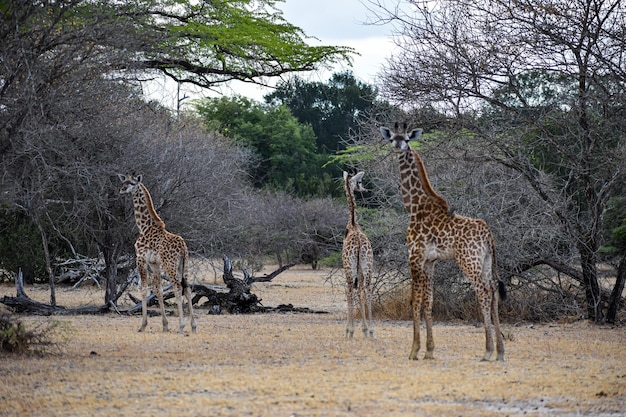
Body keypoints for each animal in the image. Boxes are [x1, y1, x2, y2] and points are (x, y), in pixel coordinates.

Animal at [116, 174, 195, 334]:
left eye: (132, 183)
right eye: (124, 181)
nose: (121, 189)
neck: (144, 227)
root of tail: (183, 247)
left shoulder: (140, 258)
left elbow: (144, 289)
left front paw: (142, 325)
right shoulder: (154, 263)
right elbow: (158, 290)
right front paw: (165, 325)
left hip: (170, 265)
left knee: (177, 287)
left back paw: (181, 326)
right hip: (184, 265)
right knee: (188, 288)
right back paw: (194, 326)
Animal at [378, 122, 504, 360]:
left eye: (406, 139)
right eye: (392, 138)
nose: (398, 147)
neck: (414, 207)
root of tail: (488, 234)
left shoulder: (414, 257)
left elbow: (415, 300)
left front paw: (414, 350)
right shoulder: (430, 261)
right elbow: (428, 301)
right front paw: (429, 351)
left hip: (468, 261)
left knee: (483, 293)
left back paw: (488, 351)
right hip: (485, 262)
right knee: (493, 291)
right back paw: (500, 351)